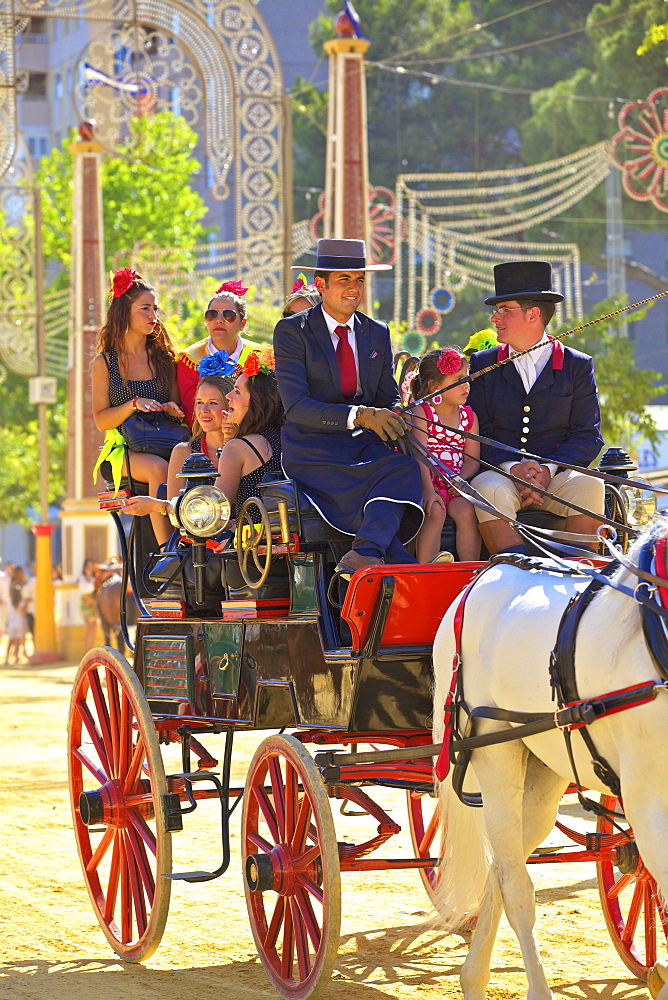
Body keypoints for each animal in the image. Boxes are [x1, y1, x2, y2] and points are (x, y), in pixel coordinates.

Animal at [430, 524, 668, 1000]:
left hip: (542, 775)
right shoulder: (649, 800)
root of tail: (480, 577)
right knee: (516, 885)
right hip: (495, 754)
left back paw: (472, 977)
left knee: (503, 866)